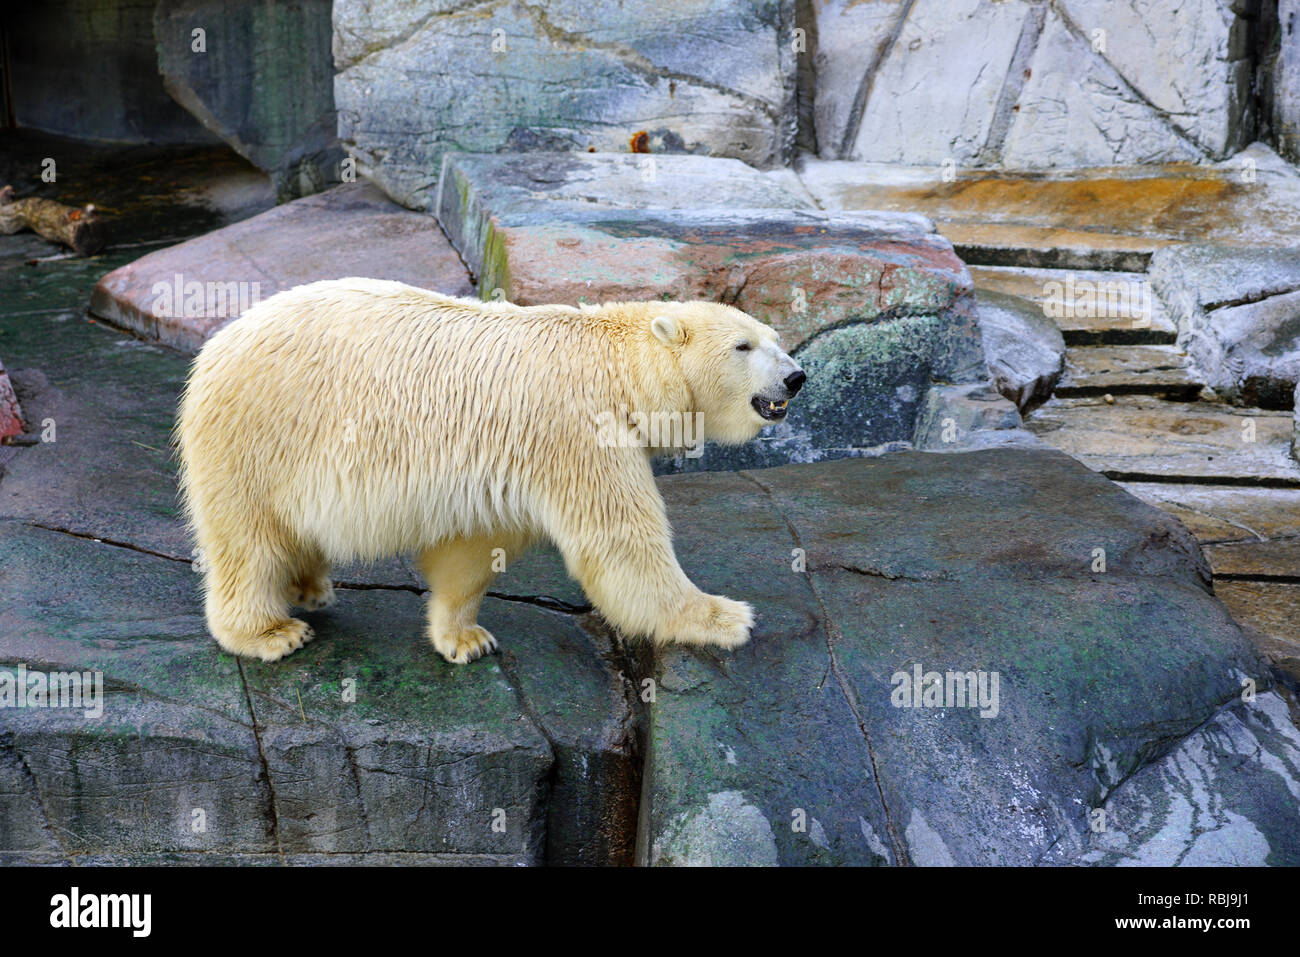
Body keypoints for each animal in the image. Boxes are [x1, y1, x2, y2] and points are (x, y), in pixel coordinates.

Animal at [172, 280, 800, 660]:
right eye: (744, 346)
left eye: (776, 338)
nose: (796, 377)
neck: (618, 368)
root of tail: (219, 343)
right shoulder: (579, 435)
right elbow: (622, 543)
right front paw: (727, 617)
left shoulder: (513, 459)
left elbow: (474, 550)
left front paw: (464, 637)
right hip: (260, 437)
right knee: (247, 539)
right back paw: (269, 631)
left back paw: (310, 586)